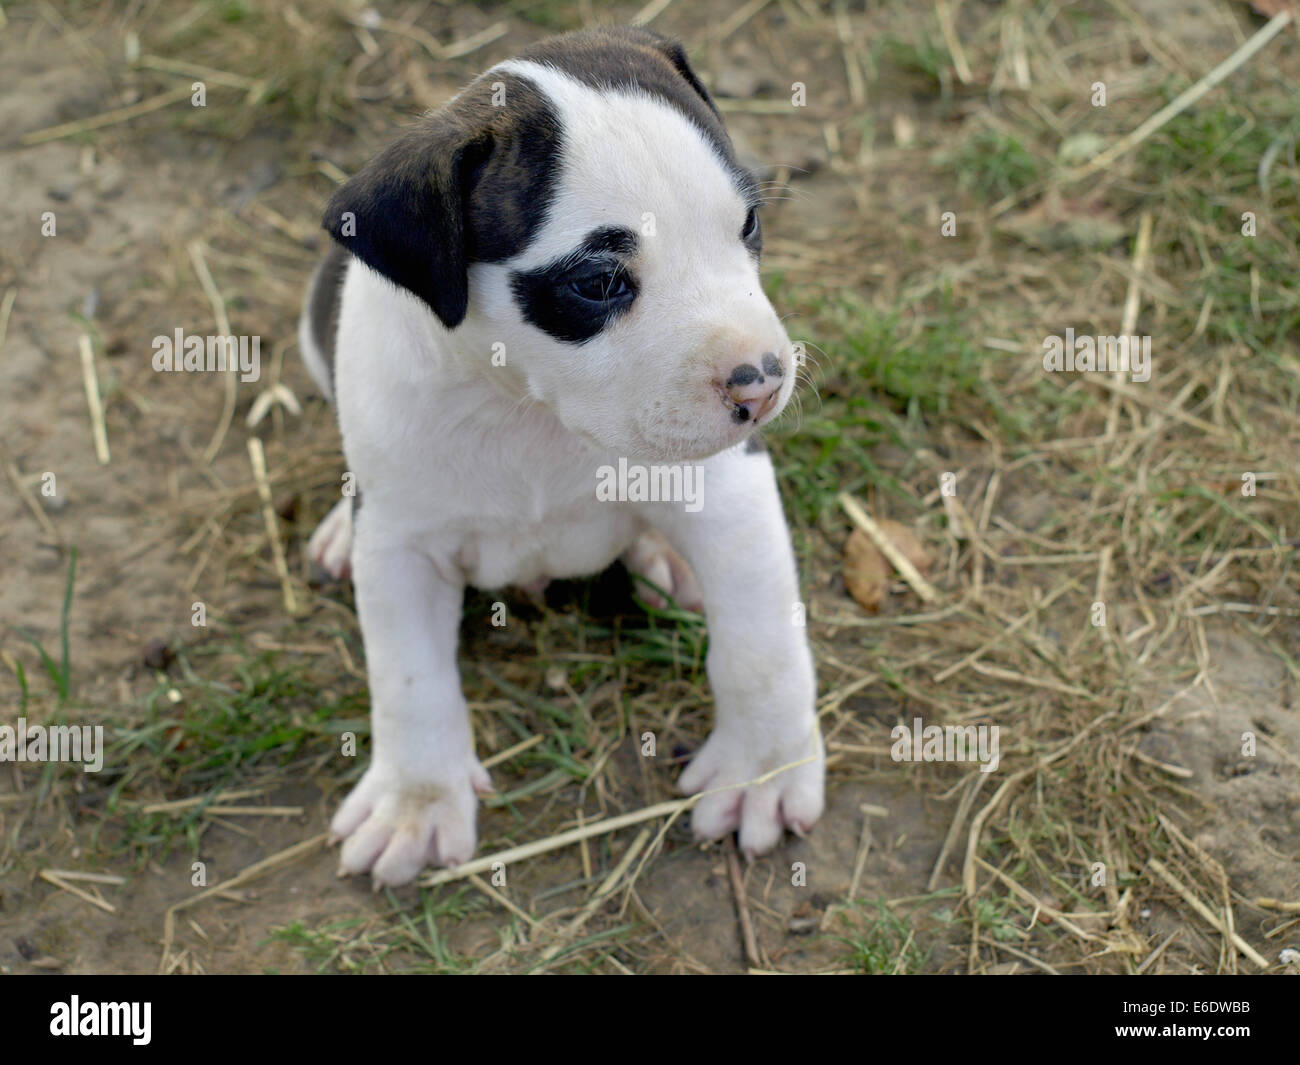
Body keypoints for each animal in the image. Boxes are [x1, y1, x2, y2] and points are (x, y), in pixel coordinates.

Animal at [297, 27, 821, 889]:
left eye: (747, 223)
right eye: (599, 282)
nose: (763, 380)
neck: (529, 409)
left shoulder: (730, 493)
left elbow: (760, 647)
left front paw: (764, 769)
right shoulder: (403, 546)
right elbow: (408, 679)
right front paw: (415, 798)